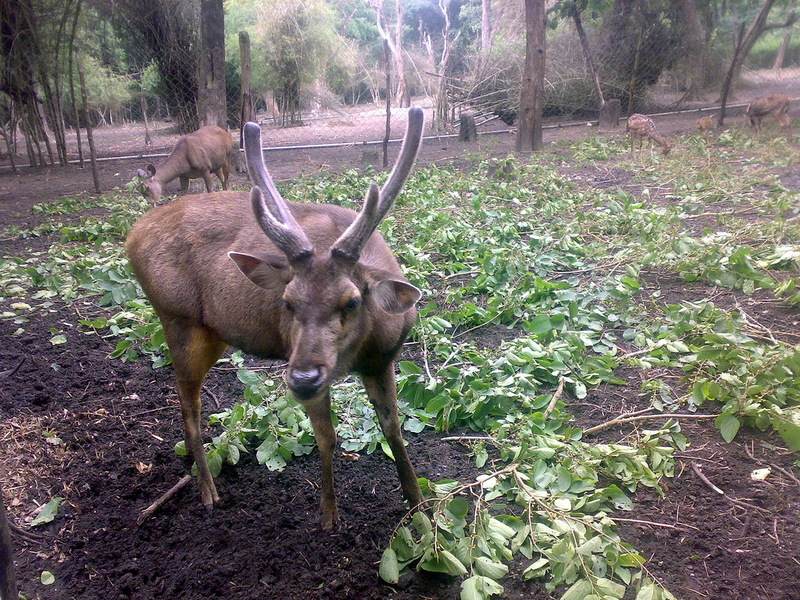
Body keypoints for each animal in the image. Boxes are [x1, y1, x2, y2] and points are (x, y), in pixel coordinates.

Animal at [125, 109, 428, 528]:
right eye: (287, 302)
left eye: (352, 301)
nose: (301, 378)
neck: (364, 350)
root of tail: (131, 237)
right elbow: (327, 437)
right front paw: (329, 516)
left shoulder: (384, 361)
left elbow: (394, 429)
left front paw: (420, 507)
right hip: (177, 318)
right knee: (189, 403)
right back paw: (207, 490)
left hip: (214, 331)